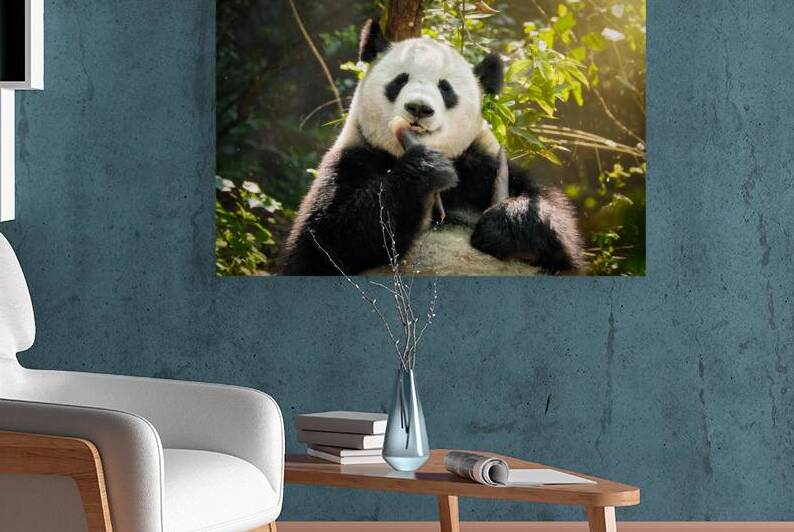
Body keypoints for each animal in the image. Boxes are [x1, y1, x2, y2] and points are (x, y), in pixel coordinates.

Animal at [282, 19, 583, 276]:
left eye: (445, 88)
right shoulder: (353, 159)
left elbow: (557, 226)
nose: (419, 108)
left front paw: (502, 225)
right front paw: (426, 168)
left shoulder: (483, 165)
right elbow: (319, 246)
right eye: (400, 80)